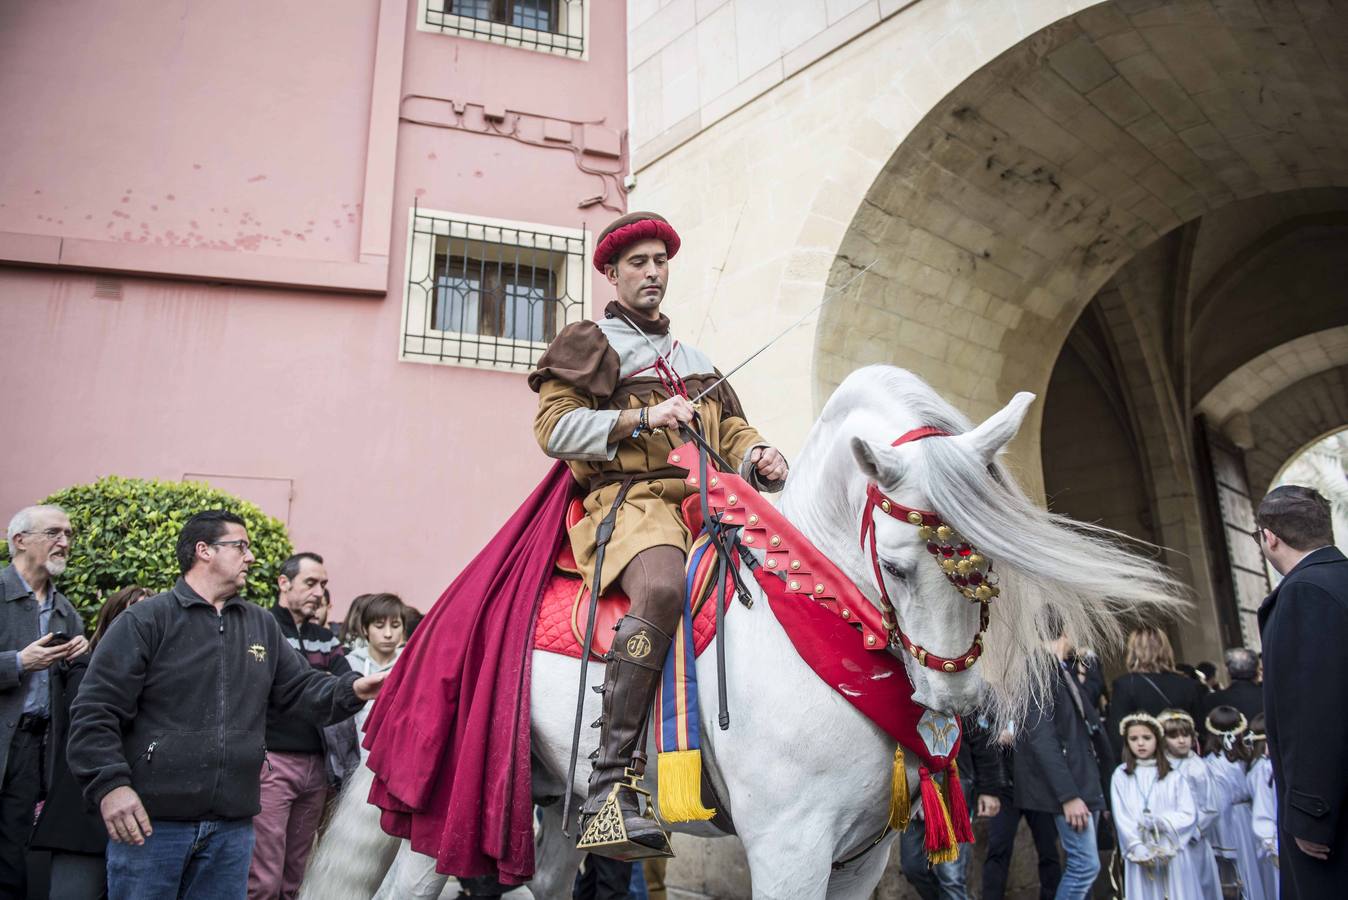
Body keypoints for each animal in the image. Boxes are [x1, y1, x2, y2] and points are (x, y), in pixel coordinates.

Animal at [310, 366, 1186, 900]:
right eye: (899, 567)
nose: (958, 704)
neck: (817, 626)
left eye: (987, 567)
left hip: (551, 799)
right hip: (447, 810)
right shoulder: (790, 846)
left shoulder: (861, 857)